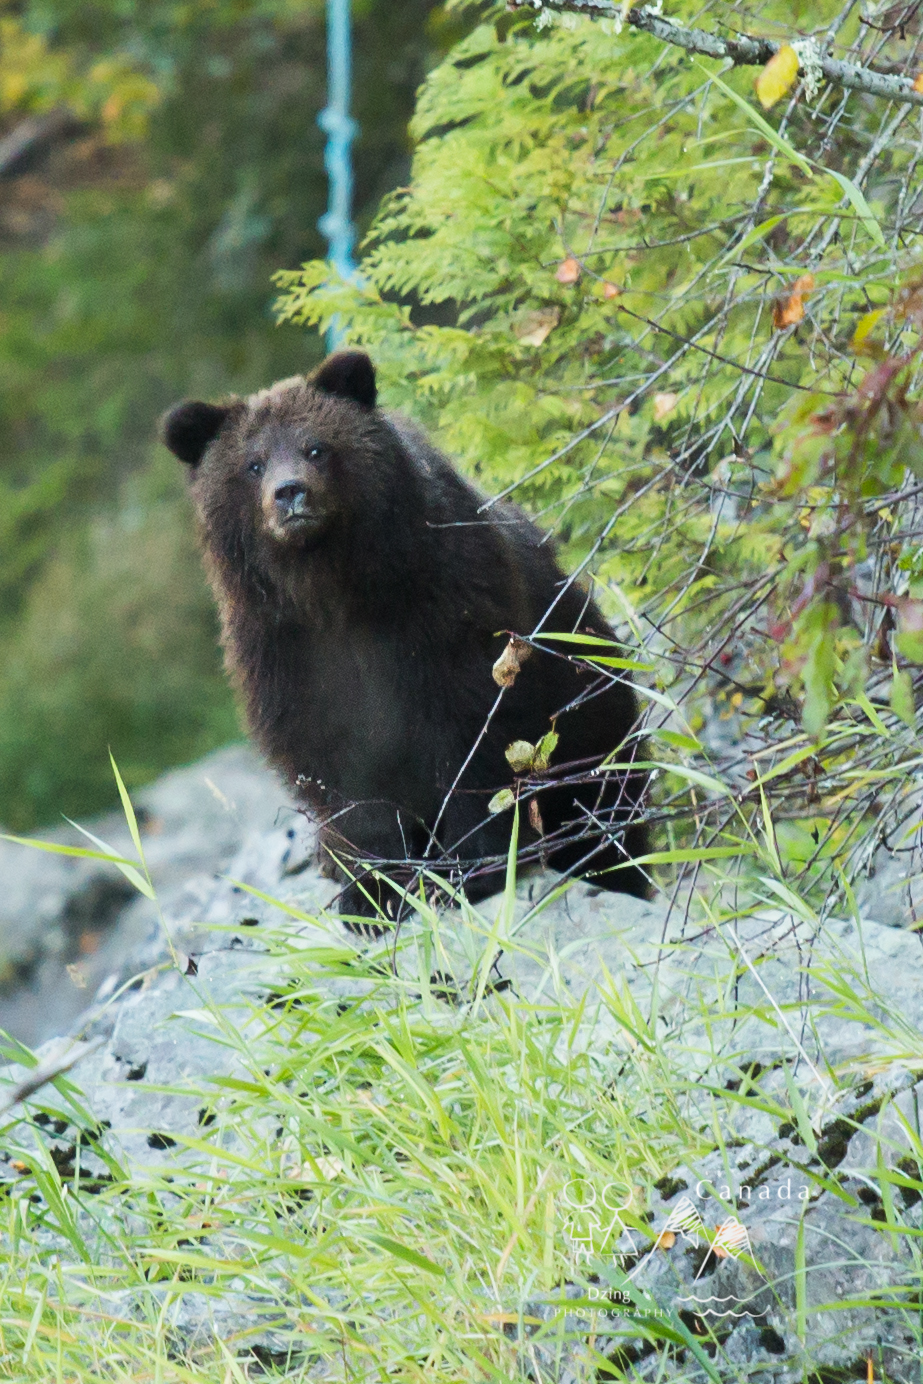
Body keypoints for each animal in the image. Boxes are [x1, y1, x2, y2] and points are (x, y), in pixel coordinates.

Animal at [160, 354, 650, 918]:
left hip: (593, 716)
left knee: (603, 811)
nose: (290, 493)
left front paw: (464, 871)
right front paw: (371, 890)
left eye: (316, 447)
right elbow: (339, 764)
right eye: (253, 464)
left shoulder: (444, 609)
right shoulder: (284, 651)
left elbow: (470, 737)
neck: (332, 589)